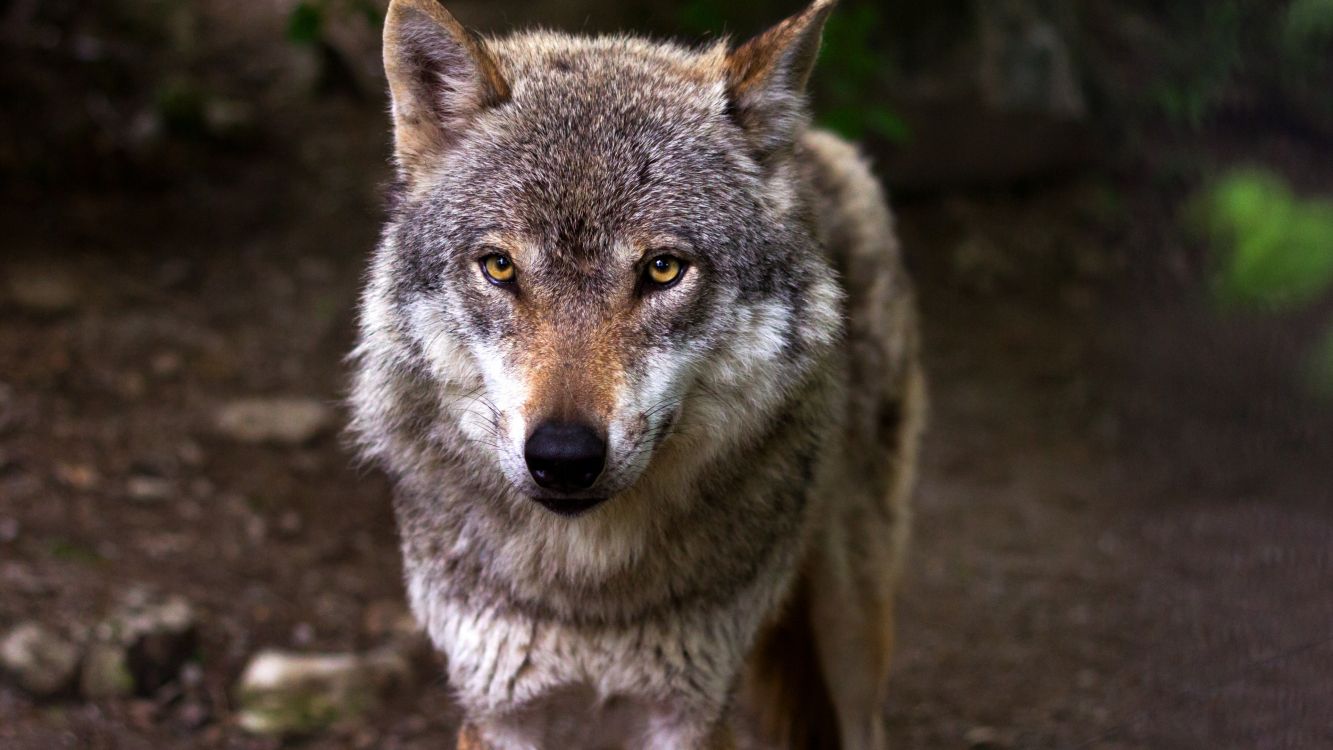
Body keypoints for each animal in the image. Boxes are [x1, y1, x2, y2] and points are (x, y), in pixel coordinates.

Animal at [349, 1, 922, 746]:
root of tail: (816, 144)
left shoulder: (691, 710)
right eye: (499, 266)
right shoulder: (498, 709)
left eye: (662, 269)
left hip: (850, 626)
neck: (589, 590)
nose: (563, 457)